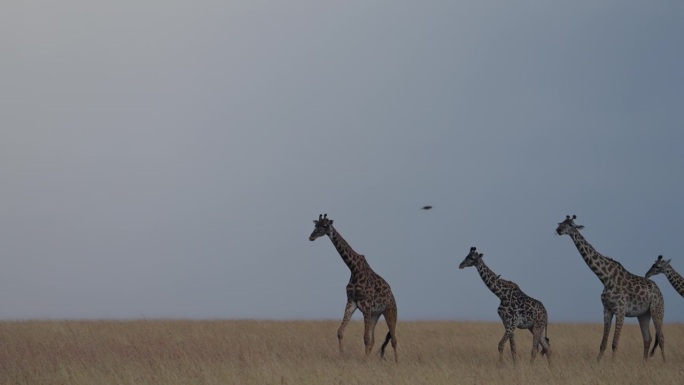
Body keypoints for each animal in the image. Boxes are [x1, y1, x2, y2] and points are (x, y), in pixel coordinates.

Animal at [308, 213, 398, 360]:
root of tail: (392, 294)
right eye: (316, 225)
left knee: (394, 339)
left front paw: (364, 362)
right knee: (374, 339)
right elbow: (340, 332)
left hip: (390, 311)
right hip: (375, 314)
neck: (354, 269)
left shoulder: (366, 305)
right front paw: (342, 356)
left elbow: (365, 338)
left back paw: (397, 362)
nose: (311, 236)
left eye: (325, 225)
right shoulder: (352, 302)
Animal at [556, 213, 664, 360]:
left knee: (661, 337)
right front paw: (597, 363)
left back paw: (664, 362)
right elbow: (603, 343)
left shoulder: (620, 310)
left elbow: (614, 343)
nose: (558, 230)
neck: (605, 279)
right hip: (643, 315)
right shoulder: (607, 310)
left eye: (571, 224)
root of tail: (659, 291)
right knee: (648, 339)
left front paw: (613, 363)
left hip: (656, 310)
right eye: (561, 222)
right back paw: (644, 363)